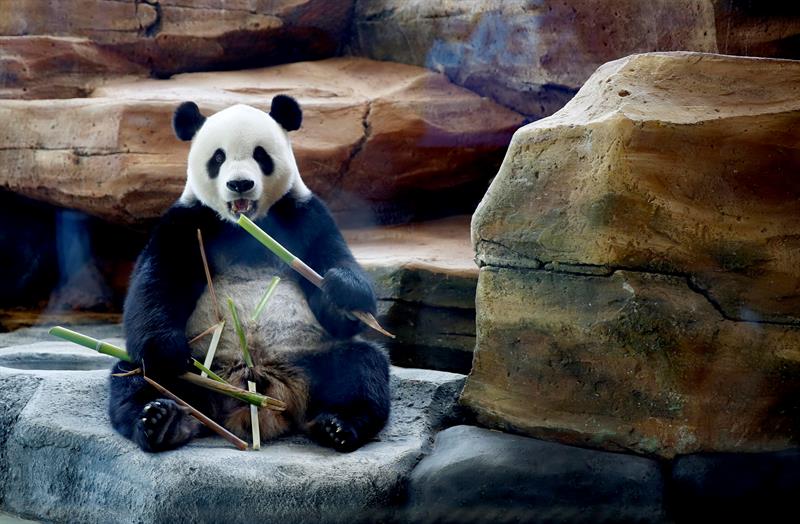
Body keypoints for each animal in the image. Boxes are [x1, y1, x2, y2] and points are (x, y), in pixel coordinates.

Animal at [108, 94, 390, 450]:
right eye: (218, 157)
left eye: (260, 155)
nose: (240, 184)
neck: (246, 226)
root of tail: (259, 401)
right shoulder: (187, 223)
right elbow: (157, 282)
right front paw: (166, 352)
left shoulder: (305, 217)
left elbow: (335, 269)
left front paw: (342, 290)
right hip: (201, 367)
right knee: (136, 378)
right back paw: (163, 421)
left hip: (311, 360)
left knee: (362, 367)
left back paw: (337, 426)